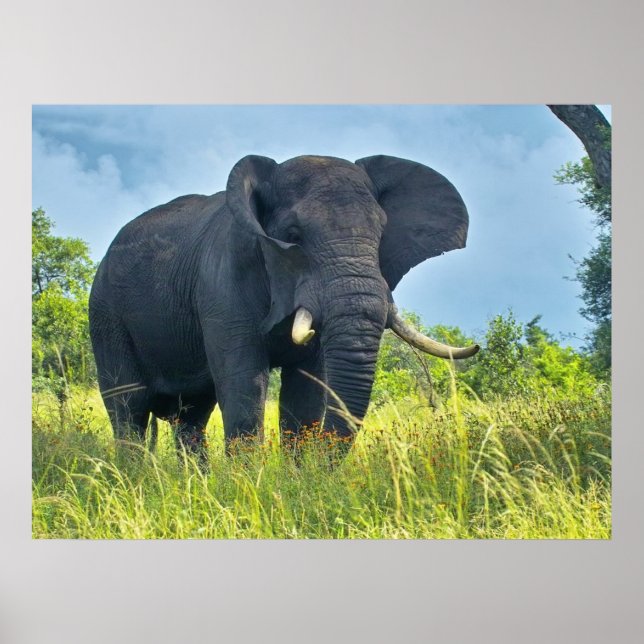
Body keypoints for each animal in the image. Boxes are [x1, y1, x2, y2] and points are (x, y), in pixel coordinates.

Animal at [89, 154, 479, 460]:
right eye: (292, 237)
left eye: (381, 236)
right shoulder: (223, 281)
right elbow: (245, 383)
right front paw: (248, 487)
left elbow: (305, 392)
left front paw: (297, 482)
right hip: (106, 315)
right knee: (129, 408)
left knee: (192, 416)